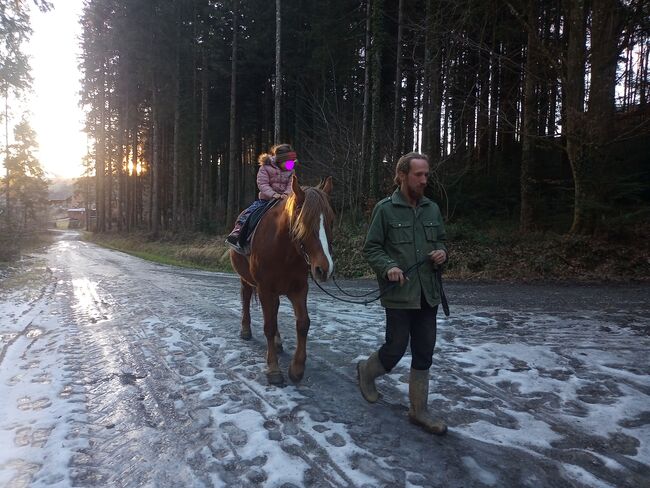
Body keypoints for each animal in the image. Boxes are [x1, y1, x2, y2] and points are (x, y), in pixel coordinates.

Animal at [229, 175, 334, 386]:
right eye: (304, 222)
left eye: (331, 221)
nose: (324, 269)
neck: (284, 250)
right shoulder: (265, 289)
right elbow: (269, 326)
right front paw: (274, 369)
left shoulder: (299, 288)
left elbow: (303, 323)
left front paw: (297, 369)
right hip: (246, 280)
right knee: (246, 299)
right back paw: (245, 330)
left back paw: (278, 342)